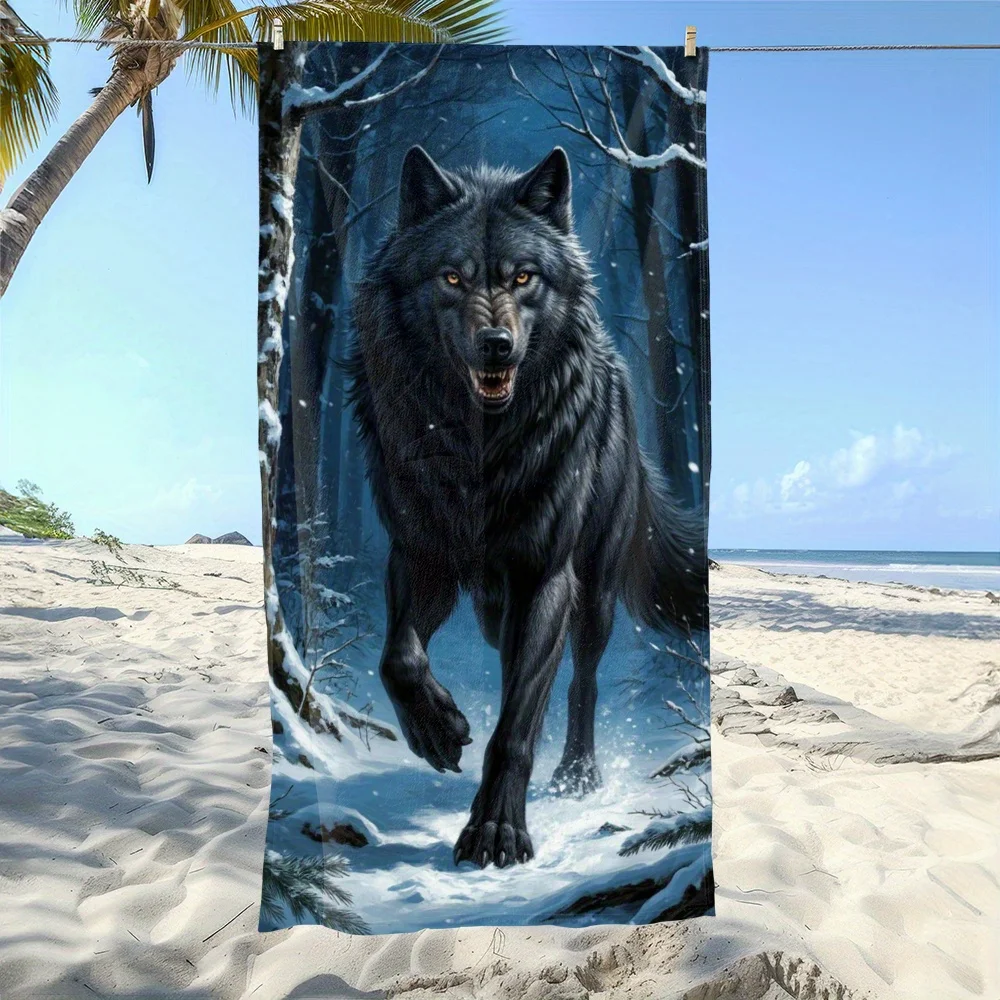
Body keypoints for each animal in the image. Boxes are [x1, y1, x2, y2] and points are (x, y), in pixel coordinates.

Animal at [346, 143, 707, 869]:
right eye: (452, 277)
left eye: (522, 278)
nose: (496, 345)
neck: (478, 450)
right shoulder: (421, 556)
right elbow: (399, 656)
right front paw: (436, 730)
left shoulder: (544, 576)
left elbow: (515, 725)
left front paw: (496, 831)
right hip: (498, 605)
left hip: (592, 590)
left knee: (578, 678)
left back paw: (577, 772)